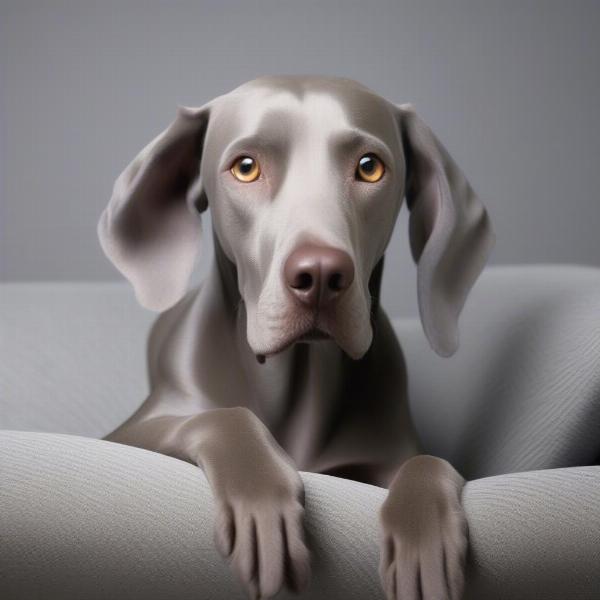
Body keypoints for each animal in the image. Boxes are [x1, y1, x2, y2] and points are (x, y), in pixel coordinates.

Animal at [97, 76, 492, 600]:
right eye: (246, 168)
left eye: (370, 167)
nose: (321, 275)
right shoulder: (126, 433)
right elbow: (223, 416)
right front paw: (261, 502)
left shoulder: (392, 453)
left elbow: (429, 462)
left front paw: (422, 535)